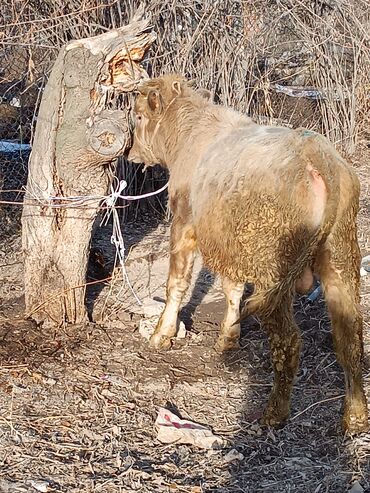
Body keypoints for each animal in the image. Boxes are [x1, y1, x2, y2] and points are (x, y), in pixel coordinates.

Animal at [127, 74, 368, 434]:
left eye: (140, 116)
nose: (130, 153)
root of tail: (316, 153)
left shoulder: (184, 223)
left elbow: (177, 283)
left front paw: (161, 334)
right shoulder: (232, 245)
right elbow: (233, 289)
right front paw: (228, 339)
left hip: (276, 272)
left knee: (289, 342)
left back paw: (274, 413)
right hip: (340, 257)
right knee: (350, 336)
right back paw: (355, 416)